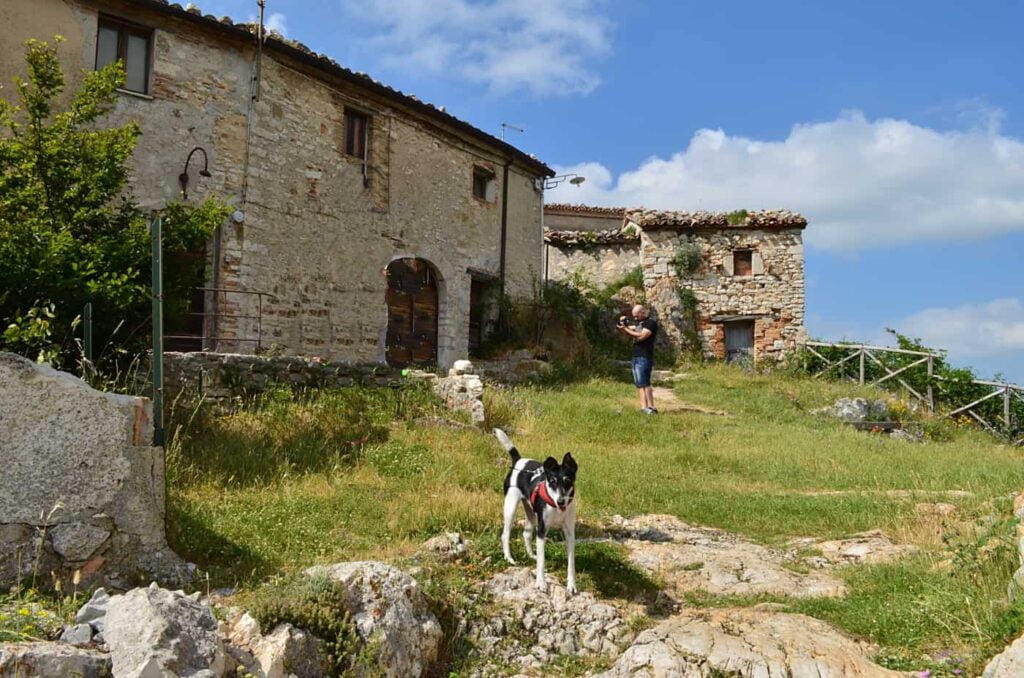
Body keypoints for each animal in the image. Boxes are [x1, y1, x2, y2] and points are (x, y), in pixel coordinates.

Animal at [493, 430, 577, 594]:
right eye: (552, 482)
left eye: (567, 481)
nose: (561, 501)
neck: (556, 508)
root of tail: (518, 461)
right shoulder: (542, 530)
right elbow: (542, 561)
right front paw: (541, 583)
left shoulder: (570, 533)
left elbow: (571, 563)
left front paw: (571, 585)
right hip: (510, 506)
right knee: (505, 534)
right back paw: (509, 558)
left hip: (531, 512)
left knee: (526, 533)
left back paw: (532, 555)